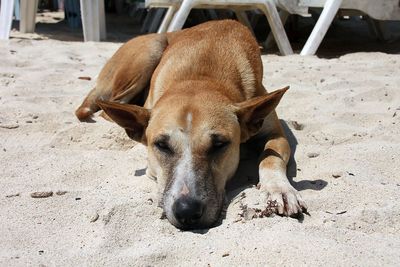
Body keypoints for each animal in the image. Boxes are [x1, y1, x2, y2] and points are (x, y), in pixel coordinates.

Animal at [75, 20, 306, 230]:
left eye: (220, 145)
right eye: (161, 145)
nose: (187, 212)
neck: (200, 78)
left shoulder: (275, 134)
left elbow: (270, 157)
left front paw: (279, 188)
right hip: (151, 50)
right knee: (106, 108)